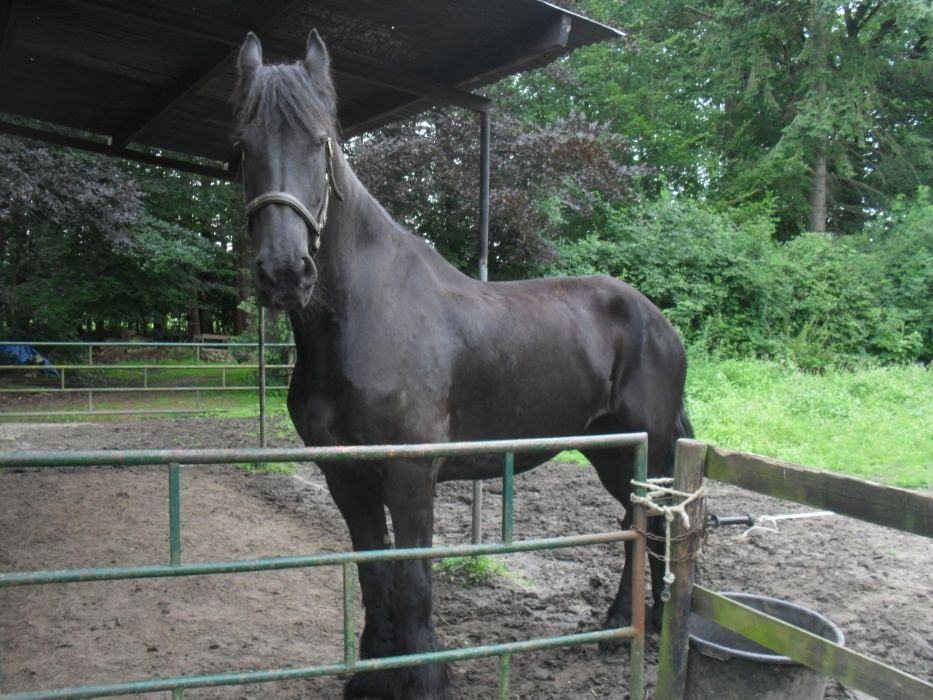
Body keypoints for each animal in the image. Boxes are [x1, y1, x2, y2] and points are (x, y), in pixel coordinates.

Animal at [233, 30, 692, 696]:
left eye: (321, 143)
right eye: (242, 147)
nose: (285, 272)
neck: (366, 317)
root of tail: (660, 325)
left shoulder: (410, 476)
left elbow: (414, 581)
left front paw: (425, 677)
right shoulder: (345, 476)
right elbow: (373, 573)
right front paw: (372, 676)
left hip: (645, 451)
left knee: (647, 525)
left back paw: (623, 628)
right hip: (612, 452)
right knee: (645, 524)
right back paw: (642, 622)